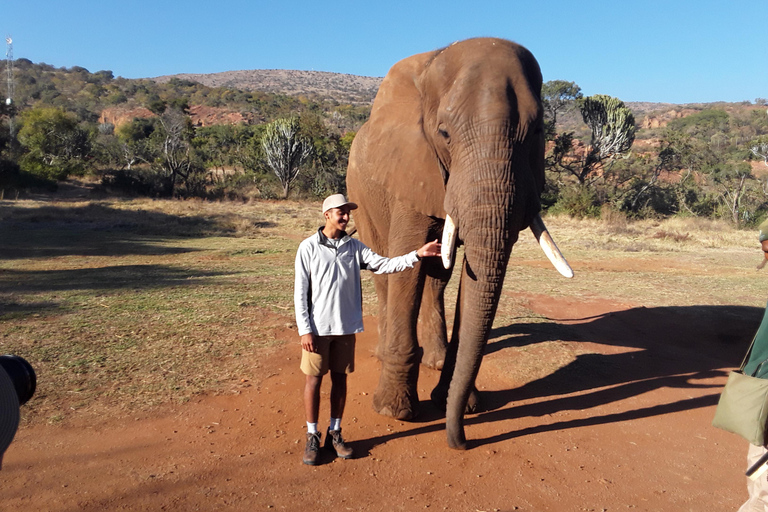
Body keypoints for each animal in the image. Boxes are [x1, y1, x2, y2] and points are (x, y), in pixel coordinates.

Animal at [346, 37, 572, 450]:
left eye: (536, 132)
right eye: (444, 133)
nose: (462, 442)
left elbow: (471, 276)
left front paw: (459, 404)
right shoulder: (411, 168)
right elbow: (407, 262)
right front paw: (394, 413)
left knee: (438, 277)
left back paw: (433, 360)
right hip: (361, 192)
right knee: (385, 269)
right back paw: (384, 355)